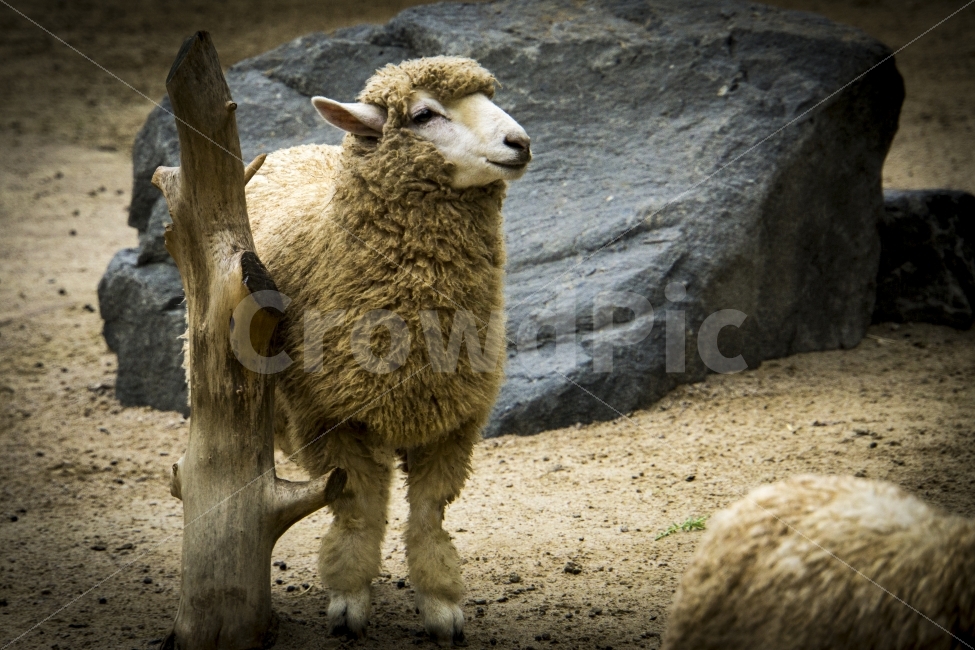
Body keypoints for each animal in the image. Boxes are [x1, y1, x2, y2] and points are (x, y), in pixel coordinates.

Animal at [242, 56, 531, 644]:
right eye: (424, 115)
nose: (520, 142)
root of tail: (296, 148)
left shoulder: (453, 422)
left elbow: (428, 515)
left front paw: (442, 604)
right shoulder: (329, 420)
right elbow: (360, 511)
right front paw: (349, 599)